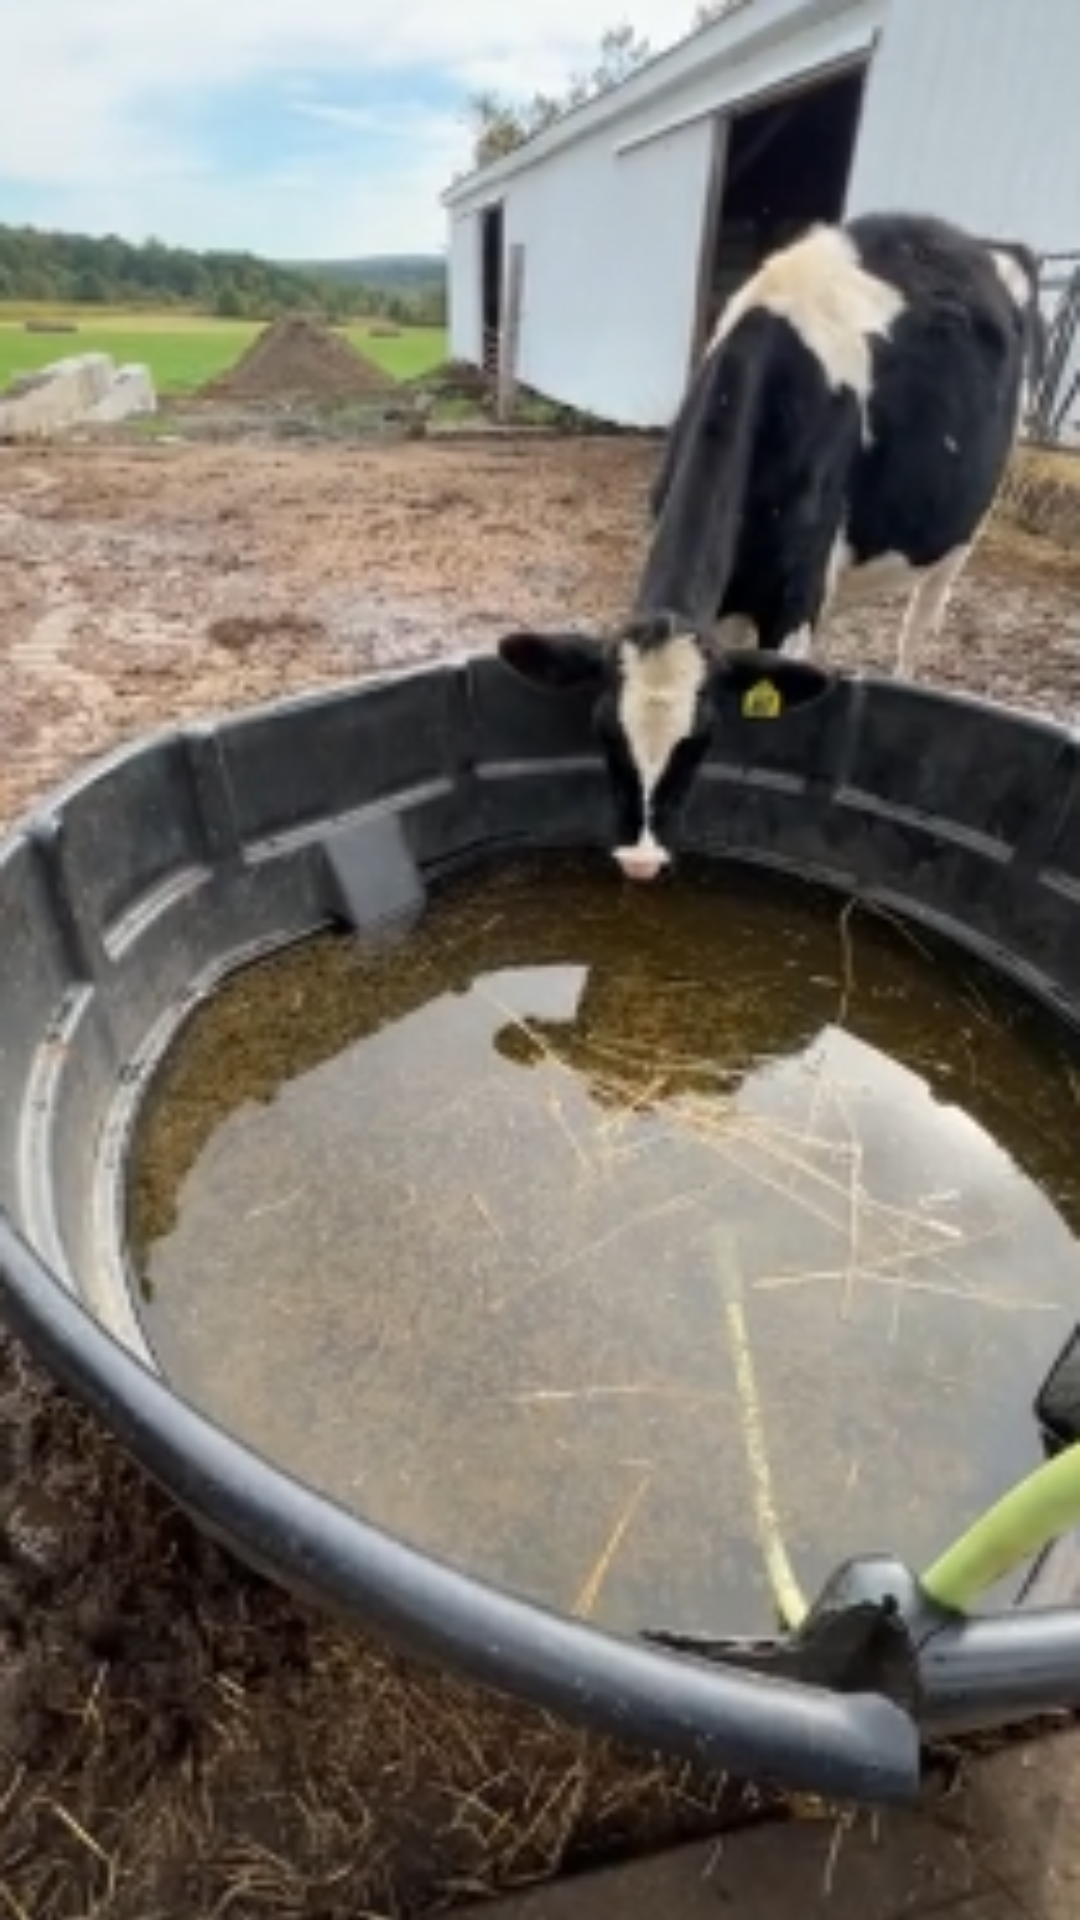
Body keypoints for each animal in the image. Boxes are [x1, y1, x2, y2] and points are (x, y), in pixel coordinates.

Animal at [494, 211, 1044, 881]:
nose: (641, 860)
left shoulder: (794, 596)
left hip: (970, 520)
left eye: (701, 741)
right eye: (604, 733)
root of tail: (976, 241)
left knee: (921, 619)